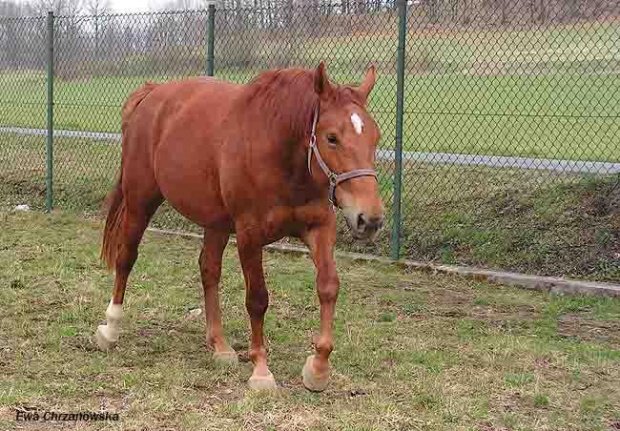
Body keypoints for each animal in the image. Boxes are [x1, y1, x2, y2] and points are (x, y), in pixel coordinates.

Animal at [93, 62, 382, 394]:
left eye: (376, 137)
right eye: (332, 137)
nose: (370, 219)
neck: (282, 155)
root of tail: (152, 93)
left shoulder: (320, 227)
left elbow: (328, 287)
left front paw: (318, 368)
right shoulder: (249, 236)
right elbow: (257, 299)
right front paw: (261, 370)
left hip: (216, 222)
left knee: (208, 269)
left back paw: (219, 345)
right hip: (140, 201)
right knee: (126, 258)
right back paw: (110, 329)